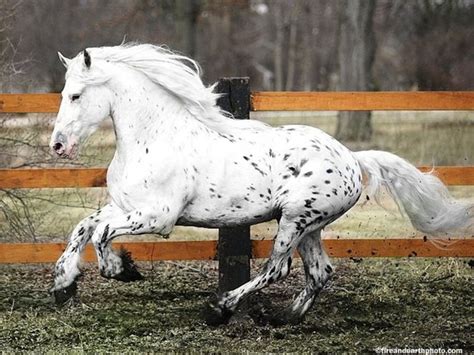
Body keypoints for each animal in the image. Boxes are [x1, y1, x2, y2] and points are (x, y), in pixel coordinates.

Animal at [50, 43, 472, 326]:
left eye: (75, 95)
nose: (58, 145)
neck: (155, 136)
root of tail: (353, 159)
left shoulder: (158, 217)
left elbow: (101, 233)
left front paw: (121, 269)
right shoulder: (126, 206)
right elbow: (84, 227)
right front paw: (63, 284)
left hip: (295, 220)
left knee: (277, 269)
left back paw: (220, 308)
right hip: (311, 226)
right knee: (320, 272)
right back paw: (288, 317)